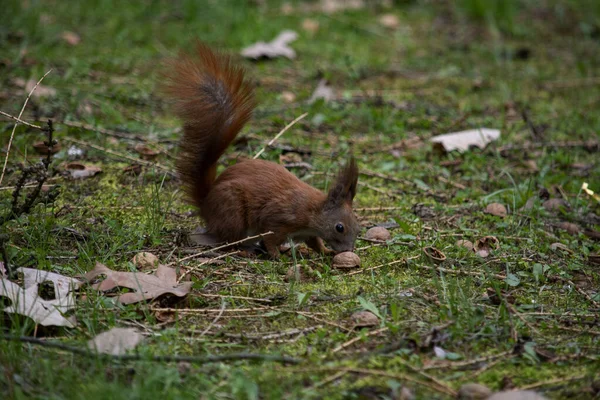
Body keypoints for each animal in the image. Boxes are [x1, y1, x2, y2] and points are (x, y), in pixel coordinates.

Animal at [162, 42, 360, 258]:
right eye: (339, 227)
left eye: (357, 226)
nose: (348, 249)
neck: (312, 211)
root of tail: (206, 205)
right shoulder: (278, 219)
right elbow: (271, 237)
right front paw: (275, 255)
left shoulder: (308, 233)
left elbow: (315, 243)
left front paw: (326, 251)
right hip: (232, 212)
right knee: (227, 241)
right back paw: (243, 251)